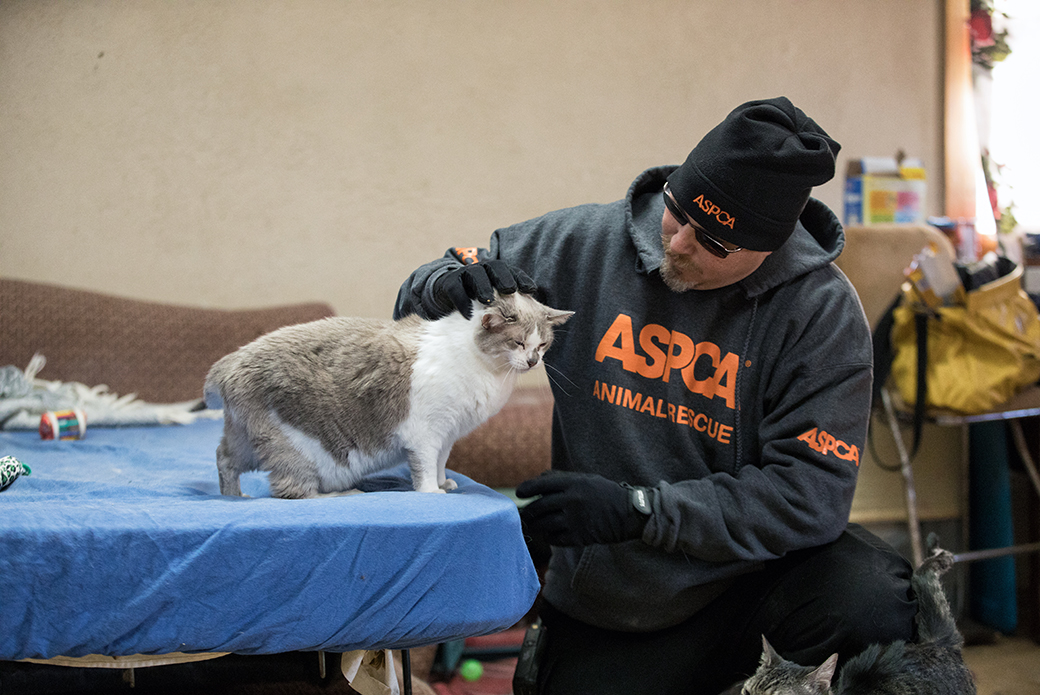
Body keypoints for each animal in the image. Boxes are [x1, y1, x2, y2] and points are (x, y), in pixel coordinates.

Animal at [200, 291, 578, 497]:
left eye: (542, 345)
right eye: (517, 343)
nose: (533, 361)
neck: (490, 373)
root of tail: (230, 362)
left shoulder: (448, 434)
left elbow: (441, 463)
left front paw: (444, 483)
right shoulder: (427, 433)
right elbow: (425, 467)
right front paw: (431, 492)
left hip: (245, 440)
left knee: (223, 459)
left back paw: (235, 496)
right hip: (294, 450)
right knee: (292, 491)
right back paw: (343, 494)